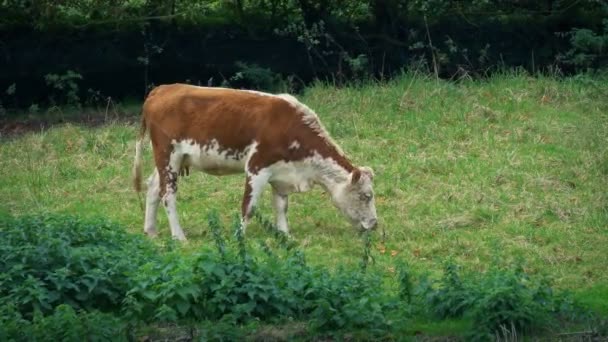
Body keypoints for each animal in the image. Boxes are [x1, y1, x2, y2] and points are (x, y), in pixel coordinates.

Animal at [132, 84, 378, 242]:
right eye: (366, 196)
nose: (375, 224)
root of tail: (162, 89)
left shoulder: (282, 174)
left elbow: (281, 206)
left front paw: (285, 235)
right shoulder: (257, 167)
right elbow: (248, 206)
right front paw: (239, 236)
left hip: (170, 160)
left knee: (153, 187)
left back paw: (151, 231)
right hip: (168, 155)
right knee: (167, 194)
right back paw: (179, 236)